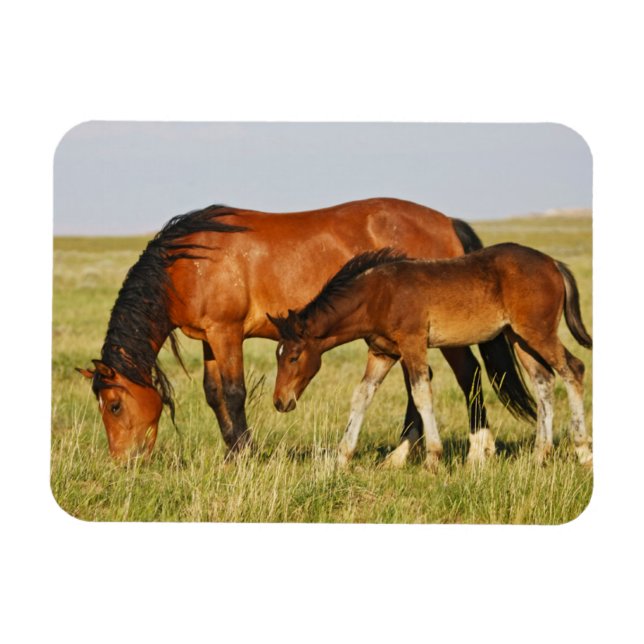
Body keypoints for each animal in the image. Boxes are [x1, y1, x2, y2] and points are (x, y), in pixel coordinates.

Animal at [77, 197, 536, 461]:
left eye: (113, 406)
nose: (123, 462)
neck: (189, 263)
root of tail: (446, 221)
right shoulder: (210, 338)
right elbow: (213, 395)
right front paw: (232, 454)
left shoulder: (227, 333)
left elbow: (233, 393)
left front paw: (246, 457)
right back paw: (401, 455)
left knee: (467, 375)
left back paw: (478, 451)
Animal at [268, 244, 593, 470]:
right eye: (277, 356)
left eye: (293, 357)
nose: (281, 402)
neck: (378, 295)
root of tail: (553, 263)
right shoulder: (382, 353)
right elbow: (362, 396)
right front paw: (341, 458)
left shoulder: (413, 344)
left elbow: (422, 393)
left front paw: (433, 459)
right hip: (519, 338)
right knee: (543, 381)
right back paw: (539, 455)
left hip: (538, 332)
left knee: (573, 369)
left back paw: (582, 451)